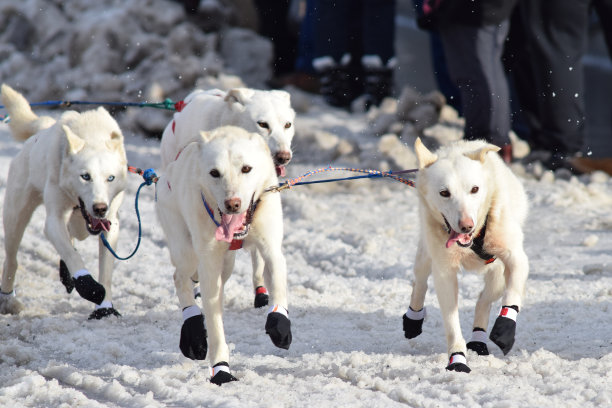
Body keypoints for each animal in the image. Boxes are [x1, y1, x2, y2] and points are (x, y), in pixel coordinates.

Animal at [0, 83, 127, 318]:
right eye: (85, 176)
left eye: (110, 178)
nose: (100, 208)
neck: (92, 134)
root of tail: (41, 129)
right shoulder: (54, 220)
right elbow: (72, 255)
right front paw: (89, 286)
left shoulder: (111, 224)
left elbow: (105, 270)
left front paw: (104, 308)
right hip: (15, 217)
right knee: (11, 259)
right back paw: (7, 300)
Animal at [157, 125, 292, 386]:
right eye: (214, 173)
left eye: (246, 168)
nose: (232, 203)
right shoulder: (208, 264)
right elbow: (215, 327)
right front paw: (221, 369)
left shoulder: (271, 249)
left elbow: (279, 288)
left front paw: (279, 324)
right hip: (187, 252)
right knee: (181, 279)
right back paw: (193, 328)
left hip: (226, 265)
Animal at [402, 138, 532, 372]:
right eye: (444, 192)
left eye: (474, 189)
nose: (466, 225)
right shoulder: (444, 273)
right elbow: (452, 322)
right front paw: (457, 359)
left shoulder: (516, 257)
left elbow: (513, 292)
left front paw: (505, 327)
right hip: (425, 256)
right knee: (420, 283)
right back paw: (413, 318)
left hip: (497, 275)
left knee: (483, 301)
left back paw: (479, 340)